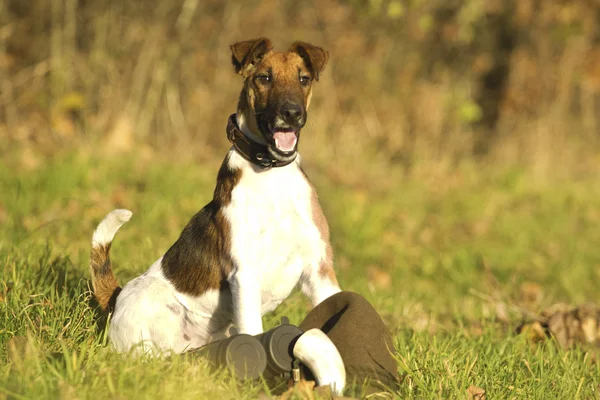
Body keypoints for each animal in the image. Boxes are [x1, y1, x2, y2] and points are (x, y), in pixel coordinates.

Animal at [90, 37, 342, 354]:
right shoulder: (245, 274)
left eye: (304, 79)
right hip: (150, 303)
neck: (271, 175)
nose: (292, 114)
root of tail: (115, 296)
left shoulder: (320, 270)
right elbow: (254, 333)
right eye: (264, 78)